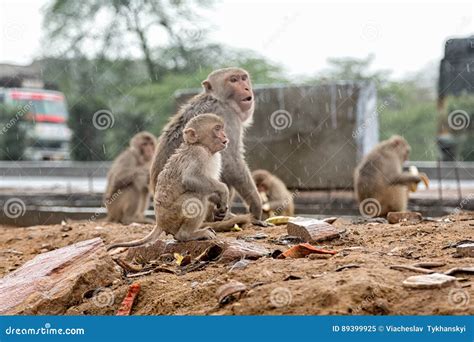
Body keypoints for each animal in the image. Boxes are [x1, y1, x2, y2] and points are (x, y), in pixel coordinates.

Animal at [107, 113, 252, 250]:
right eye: (217, 129)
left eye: (222, 128)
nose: (224, 135)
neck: (202, 146)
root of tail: (159, 222)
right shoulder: (198, 154)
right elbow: (191, 179)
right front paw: (223, 190)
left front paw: (220, 205)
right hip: (172, 215)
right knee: (196, 196)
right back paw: (187, 235)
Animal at [152, 68, 262, 222]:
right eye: (233, 80)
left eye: (243, 78)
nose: (246, 88)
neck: (219, 99)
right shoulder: (227, 116)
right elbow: (231, 162)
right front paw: (256, 204)